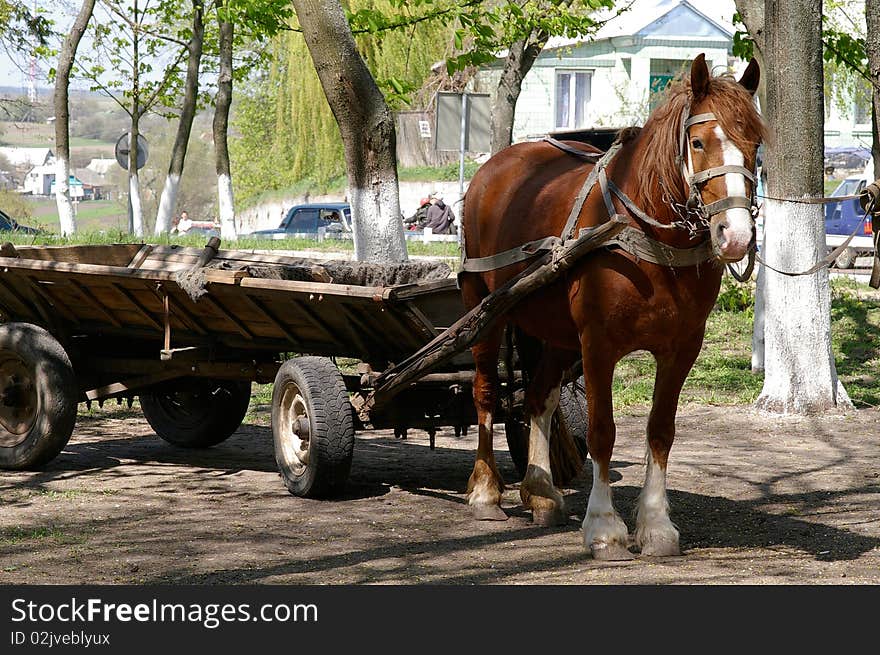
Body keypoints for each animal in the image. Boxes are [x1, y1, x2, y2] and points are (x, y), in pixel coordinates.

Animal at [458, 53, 768, 560]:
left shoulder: (681, 349)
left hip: (557, 334)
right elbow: (603, 431)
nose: (736, 236)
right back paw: (486, 491)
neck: (646, 235)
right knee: (484, 391)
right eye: (698, 142)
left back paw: (541, 492)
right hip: (486, 311)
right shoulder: (599, 346)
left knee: (538, 397)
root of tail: (495, 165)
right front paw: (604, 526)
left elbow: (661, 431)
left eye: (755, 145)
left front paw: (656, 525)